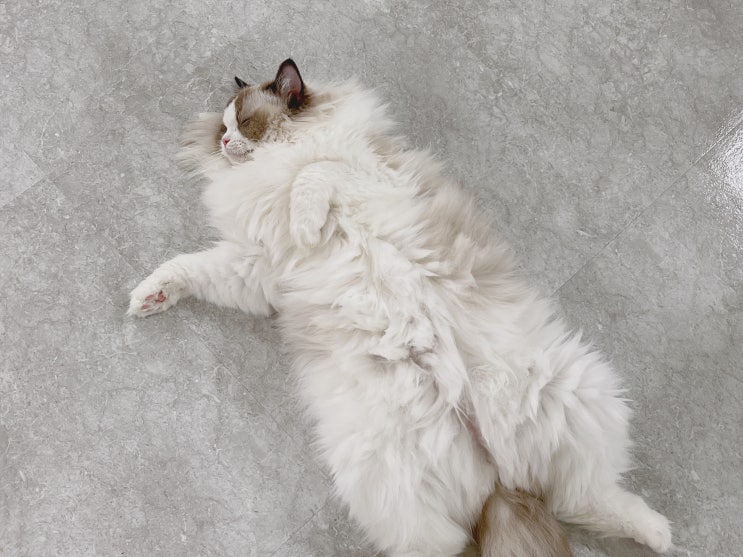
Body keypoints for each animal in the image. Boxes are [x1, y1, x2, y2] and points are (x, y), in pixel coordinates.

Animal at [128, 59, 673, 556]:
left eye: (243, 122)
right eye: (221, 130)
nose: (223, 144)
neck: (278, 160)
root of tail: (497, 476)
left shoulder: (363, 176)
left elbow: (315, 172)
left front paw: (306, 220)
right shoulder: (256, 267)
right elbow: (188, 269)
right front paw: (149, 297)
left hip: (582, 393)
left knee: (585, 498)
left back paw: (661, 534)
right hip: (398, 489)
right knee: (553, 508)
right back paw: (658, 534)